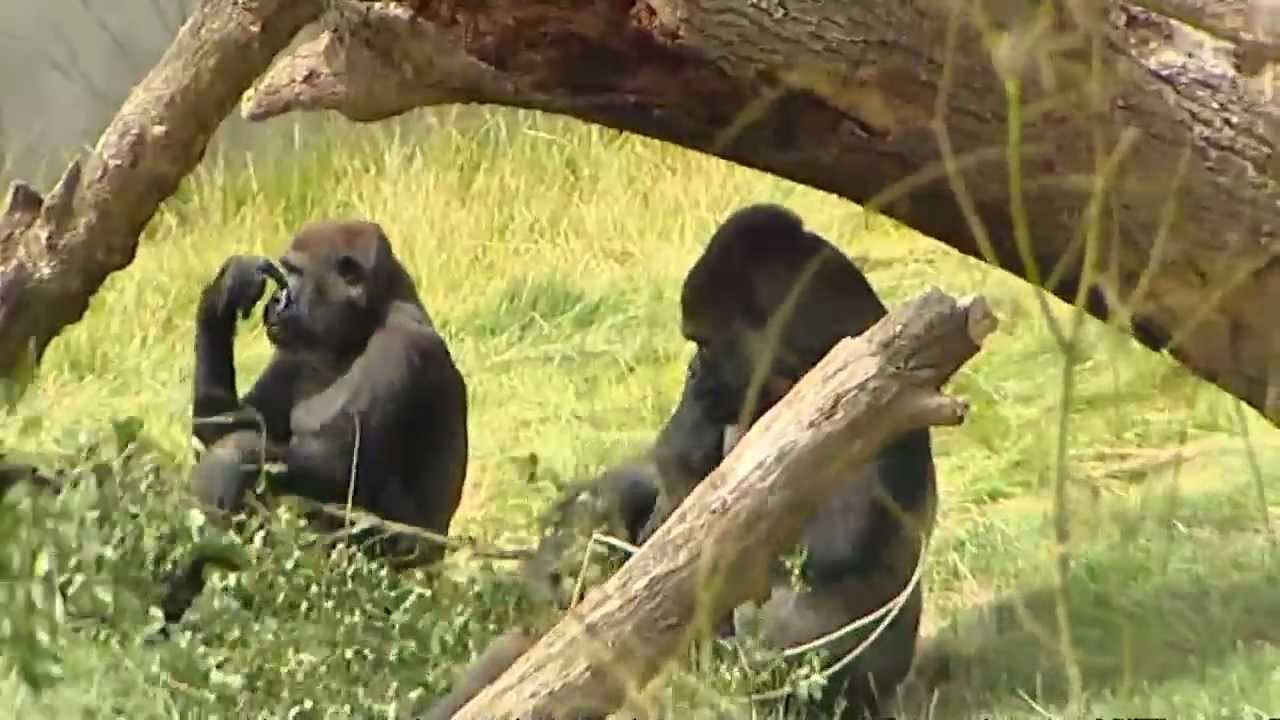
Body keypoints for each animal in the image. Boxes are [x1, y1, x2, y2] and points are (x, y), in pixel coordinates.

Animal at [186, 215, 468, 563]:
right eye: (286, 274)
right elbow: (223, 424)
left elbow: (337, 468)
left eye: (297, 273)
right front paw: (225, 291)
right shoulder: (294, 351)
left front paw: (230, 459)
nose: (276, 300)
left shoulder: (402, 346)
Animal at [424, 202, 936, 717]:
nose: (692, 371)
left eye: (703, 343)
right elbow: (657, 485)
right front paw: (572, 539)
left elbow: (824, 555)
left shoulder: (879, 375)